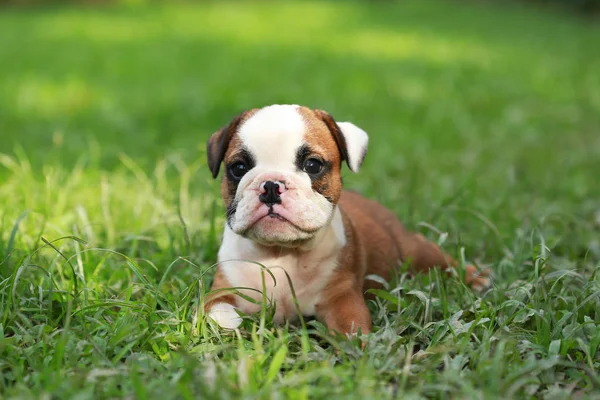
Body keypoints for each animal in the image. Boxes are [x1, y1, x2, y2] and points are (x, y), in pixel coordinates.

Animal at [204, 104, 490, 334]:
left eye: (312, 165)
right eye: (239, 168)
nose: (271, 186)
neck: (281, 252)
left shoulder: (341, 299)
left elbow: (351, 328)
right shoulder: (222, 291)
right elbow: (218, 313)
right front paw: (234, 328)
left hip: (413, 250)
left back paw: (476, 278)